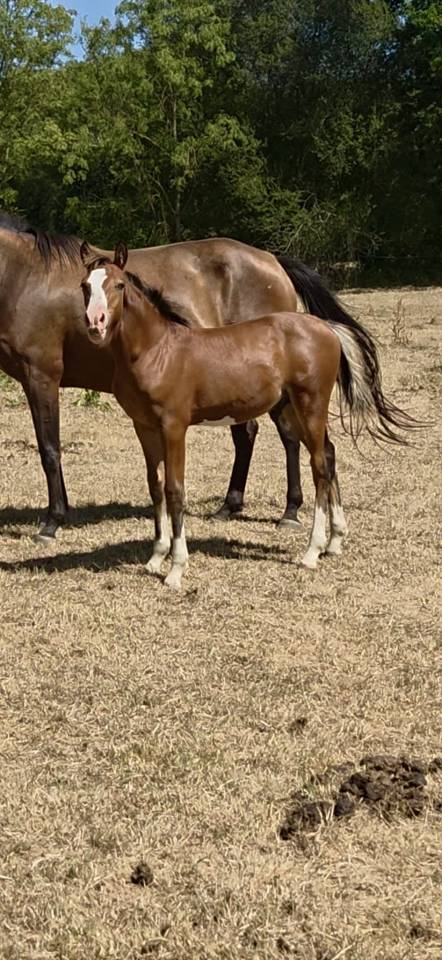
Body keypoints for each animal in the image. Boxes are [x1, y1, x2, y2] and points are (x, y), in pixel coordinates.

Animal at [0, 210, 365, 542]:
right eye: (83, 287)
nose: (95, 322)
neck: (25, 277)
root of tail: (271, 260)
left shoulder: (42, 376)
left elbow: (50, 449)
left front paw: (53, 521)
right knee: (252, 434)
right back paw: (231, 505)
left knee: (289, 436)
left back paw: (289, 511)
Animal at [81, 242, 415, 589]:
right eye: (84, 286)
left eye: (119, 285)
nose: (95, 323)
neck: (159, 351)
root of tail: (326, 328)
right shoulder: (144, 427)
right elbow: (155, 486)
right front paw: (155, 558)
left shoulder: (174, 426)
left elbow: (175, 490)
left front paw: (176, 569)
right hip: (294, 407)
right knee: (329, 453)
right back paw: (335, 541)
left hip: (310, 404)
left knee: (320, 466)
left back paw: (312, 551)